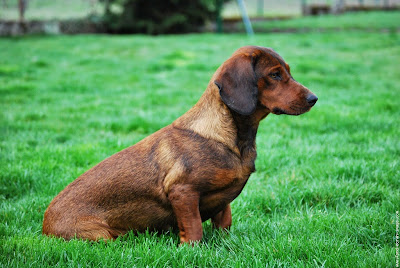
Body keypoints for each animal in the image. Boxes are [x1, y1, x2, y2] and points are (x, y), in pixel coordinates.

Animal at [43, 45, 318, 243]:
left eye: (288, 72)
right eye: (274, 74)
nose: (314, 99)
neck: (228, 137)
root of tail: (45, 225)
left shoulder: (223, 203)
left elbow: (225, 224)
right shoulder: (182, 192)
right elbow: (194, 228)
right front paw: (192, 250)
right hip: (101, 237)